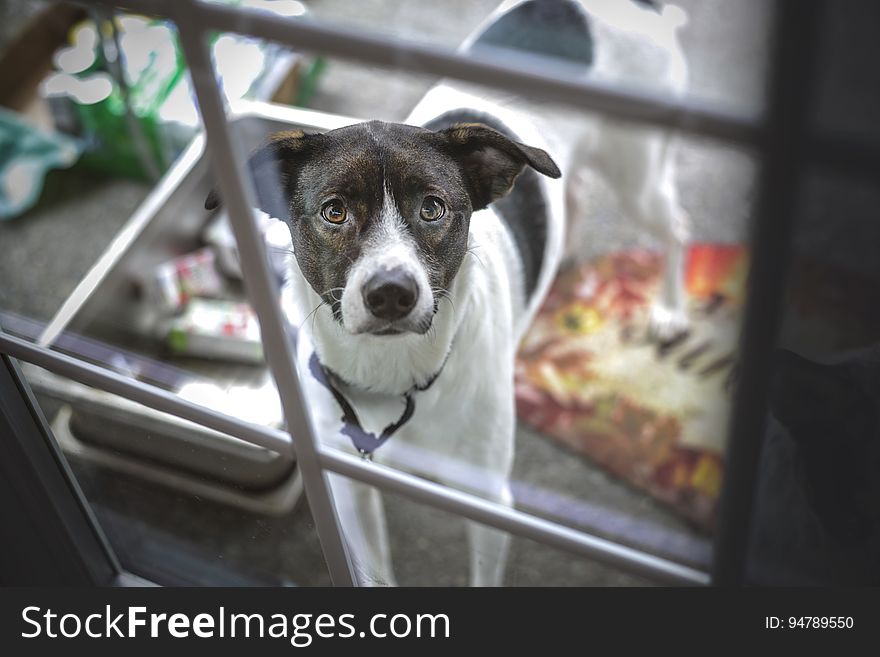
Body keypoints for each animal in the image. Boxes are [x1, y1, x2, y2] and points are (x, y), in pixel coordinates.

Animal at [205, 0, 688, 584]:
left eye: (433, 207)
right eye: (334, 211)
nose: (391, 294)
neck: (392, 372)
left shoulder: (488, 501)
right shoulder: (349, 486)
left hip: (639, 175)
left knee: (675, 228)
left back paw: (669, 311)